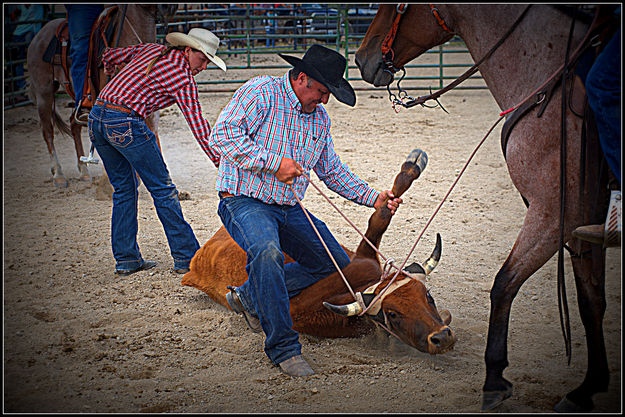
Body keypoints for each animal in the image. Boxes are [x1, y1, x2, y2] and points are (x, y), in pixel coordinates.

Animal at [25, 3, 177, 188]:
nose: (170, 8)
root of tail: (40, 34)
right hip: (44, 93)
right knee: (48, 131)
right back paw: (59, 175)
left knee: (74, 124)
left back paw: (84, 171)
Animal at [356, 3, 620, 412]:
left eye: (395, 6)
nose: (360, 59)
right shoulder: (583, 221)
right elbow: (590, 298)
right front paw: (588, 387)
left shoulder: (553, 213)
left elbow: (504, 284)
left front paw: (494, 378)